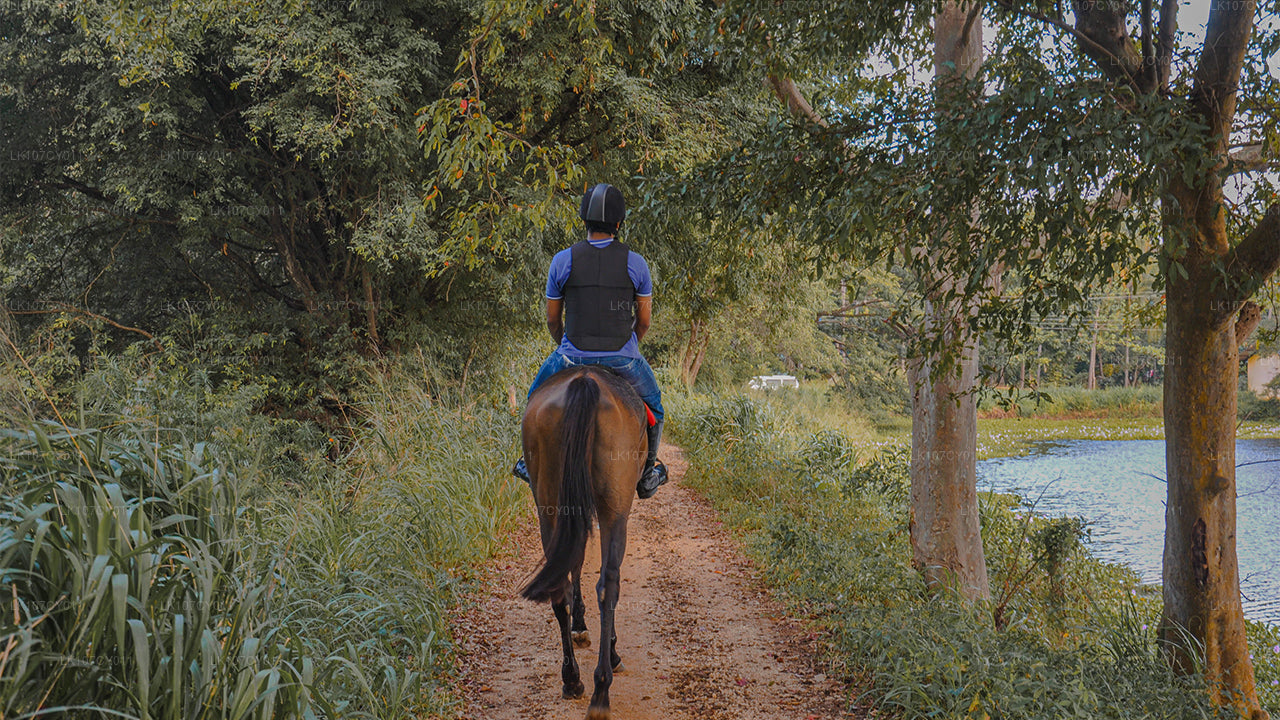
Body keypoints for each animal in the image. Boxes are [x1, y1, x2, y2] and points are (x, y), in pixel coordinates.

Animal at [517, 363, 645, 717]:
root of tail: (584, 381)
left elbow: (574, 562)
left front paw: (579, 625)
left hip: (548, 502)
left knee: (559, 583)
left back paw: (572, 680)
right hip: (615, 509)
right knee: (609, 584)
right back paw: (602, 685)